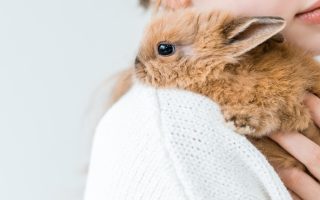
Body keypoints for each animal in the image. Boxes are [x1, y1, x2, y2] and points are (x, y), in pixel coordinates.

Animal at [132, 8, 320, 172]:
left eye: (164, 49)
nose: (136, 64)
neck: (223, 71)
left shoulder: (284, 100)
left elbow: (272, 114)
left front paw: (239, 121)